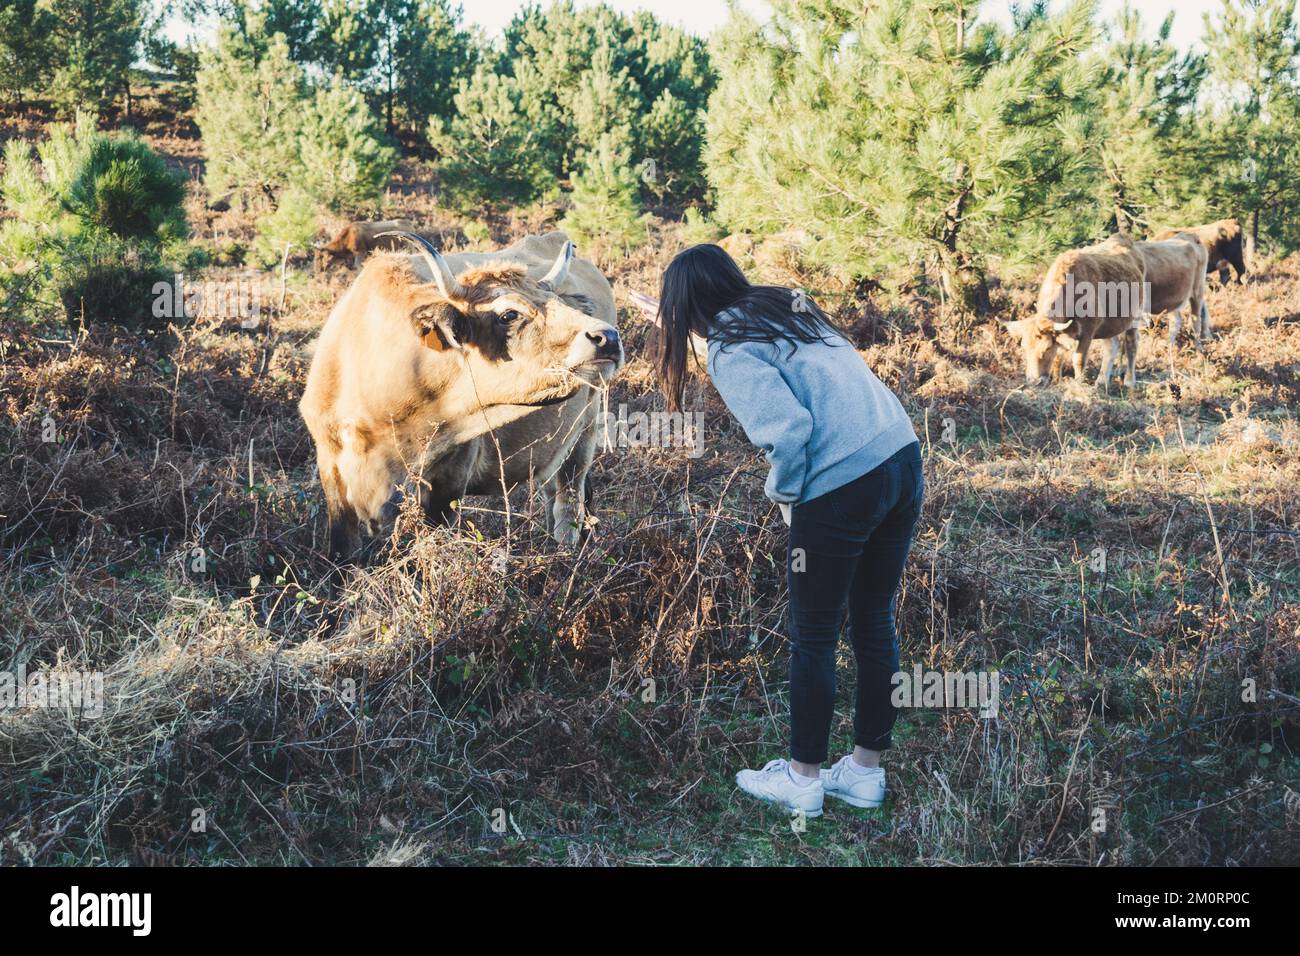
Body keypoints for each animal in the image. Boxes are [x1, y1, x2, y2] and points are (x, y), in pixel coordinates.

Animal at [299, 230, 624, 563]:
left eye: (559, 302)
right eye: (509, 314)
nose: (607, 337)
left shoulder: (448, 481)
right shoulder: (332, 471)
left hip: (584, 433)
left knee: (567, 503)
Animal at [999, 233, 1146, 392]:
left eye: (1046, 348)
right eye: (1024, 347)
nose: (1034, 381)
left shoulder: (1088, 331)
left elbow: (1078, 359)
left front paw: (1079, 384)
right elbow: (1059, 357)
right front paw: (1057, 381)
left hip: (1135, 316)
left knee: (1131, 345)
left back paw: (1129, 381)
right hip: (1110, 324)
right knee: (1111, 346)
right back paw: (1101, 382)